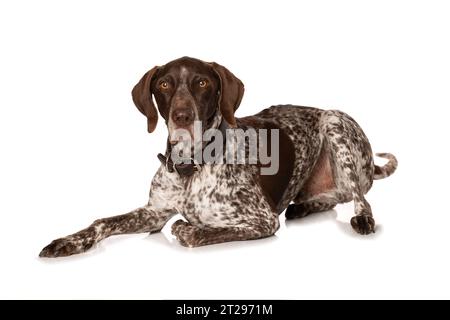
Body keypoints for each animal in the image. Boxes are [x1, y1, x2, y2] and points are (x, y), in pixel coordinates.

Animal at [39, 57, 398, 258]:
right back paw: (304, 207)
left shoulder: (261, 220)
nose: (182, 116)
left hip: (335, 122)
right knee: (333, 197)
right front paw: (69, 241)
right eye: (164, 84)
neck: (190, 167)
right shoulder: (153, 213)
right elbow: (102, 222)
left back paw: (360, 218)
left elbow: (196, 231)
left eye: (202, 82)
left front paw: (188, 228)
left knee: (358, 197)